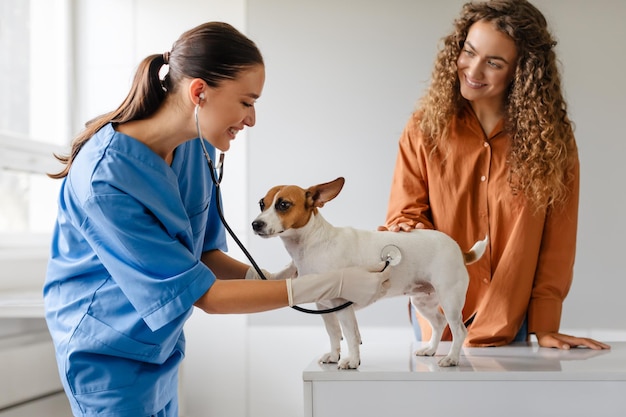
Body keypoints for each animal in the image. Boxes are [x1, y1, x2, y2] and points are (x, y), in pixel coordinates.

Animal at [251, 176, 486, 368]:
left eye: (283, 205)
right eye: (262, 203)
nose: (255, 224)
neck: (312, 243)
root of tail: (458, 248)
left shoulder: (342, 307)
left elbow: (351, 337)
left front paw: (352, 361)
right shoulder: (325, 308)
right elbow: (334, 334)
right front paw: (334, 356)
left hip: (450, 300)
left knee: (459, 330)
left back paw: (452, 358)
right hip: (423, 302)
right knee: (439, 323)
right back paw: (430, 349)